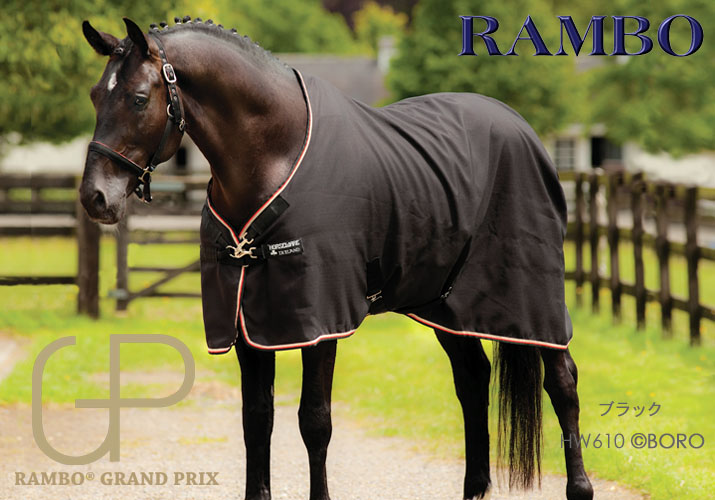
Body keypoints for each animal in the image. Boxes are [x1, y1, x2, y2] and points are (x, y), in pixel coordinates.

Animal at [79, 17, 594, 500]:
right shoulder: (246, 321)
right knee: (471, 379)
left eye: (139, 99)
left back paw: (580, 487)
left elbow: (314, 421)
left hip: (532, 295)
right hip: (446, 304)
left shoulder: (320, 320)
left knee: (562, 381)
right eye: (94, 96)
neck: (276, 155)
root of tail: (521, 127)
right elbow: (256, 419)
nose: (94, 198)